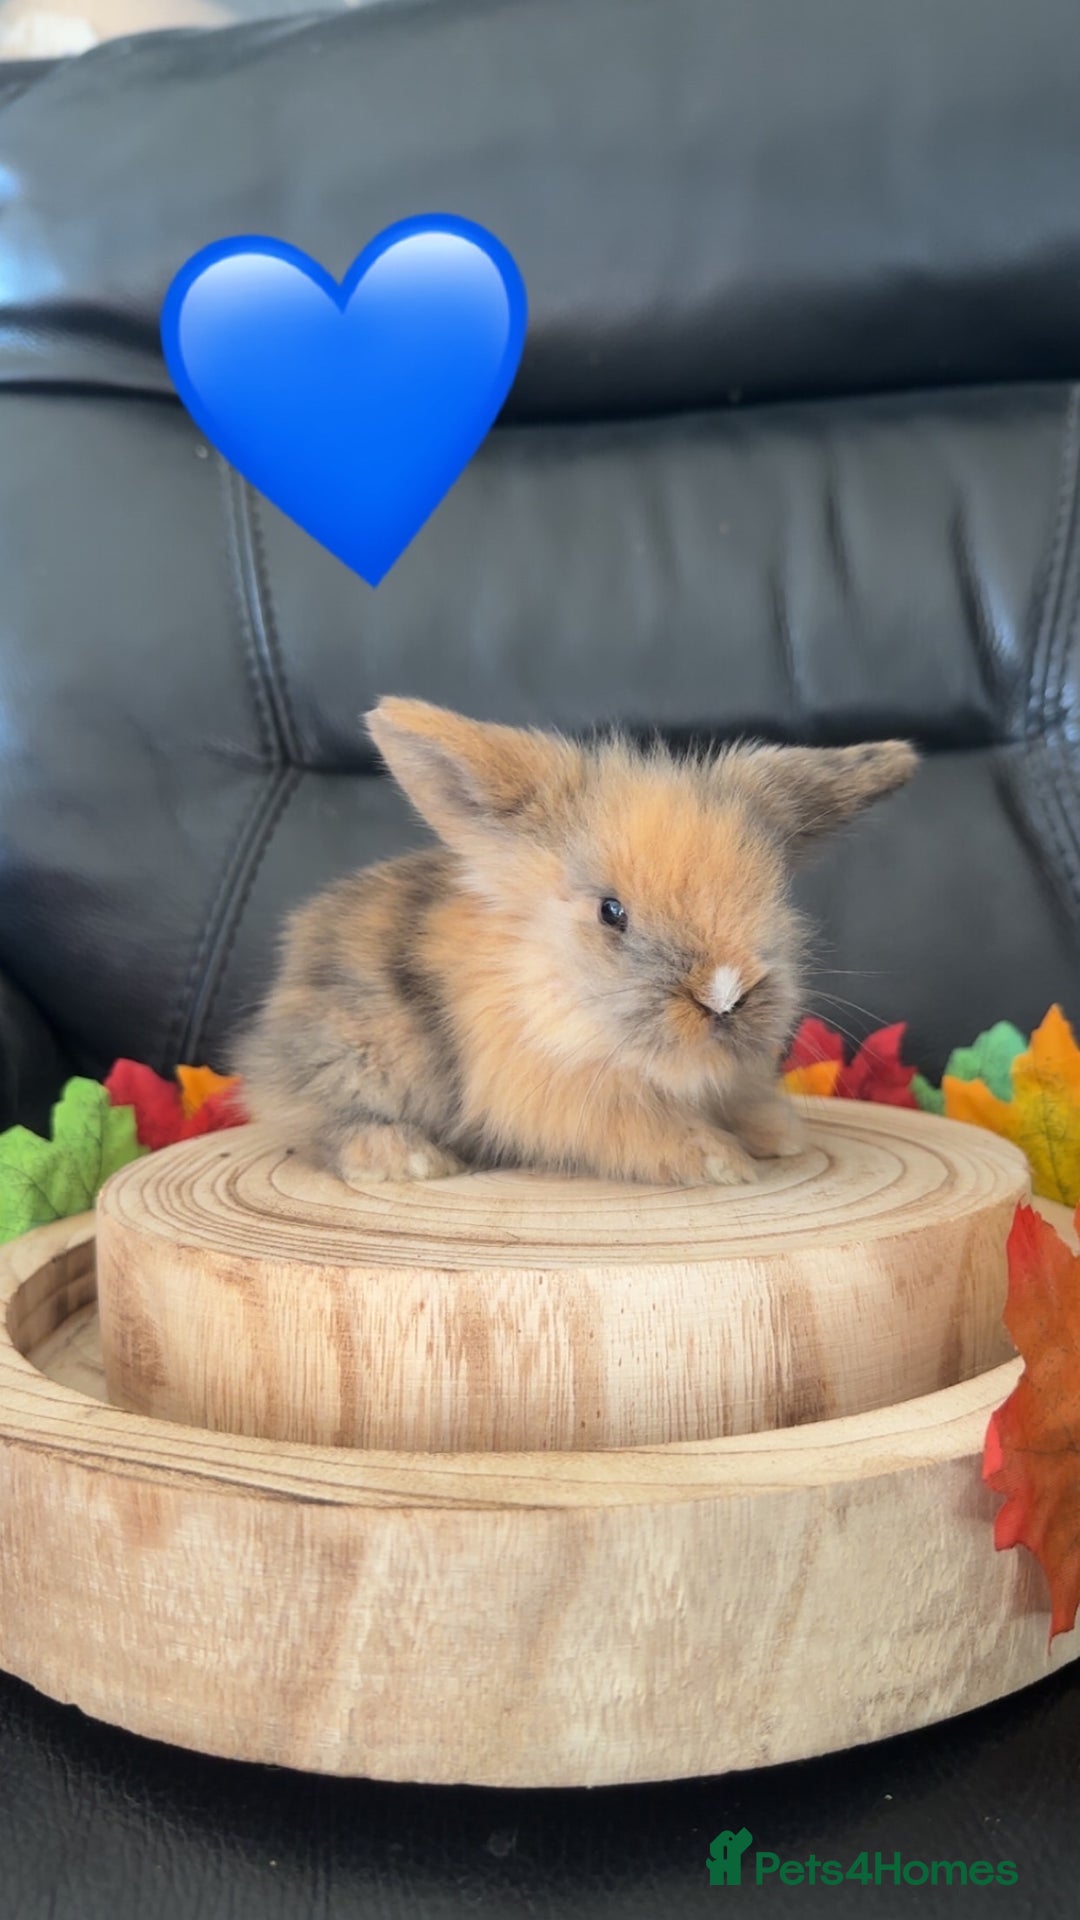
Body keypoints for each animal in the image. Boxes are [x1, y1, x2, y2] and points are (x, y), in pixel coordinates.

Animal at [233, 698, 918, 1189]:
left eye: (774, 895)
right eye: (611, 912)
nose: (723, 994)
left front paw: (780, 1135)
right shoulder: (556, 1097)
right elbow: (641, 1127)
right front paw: (718, 1162)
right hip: (354, 1060)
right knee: (316, 1124)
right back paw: (410, 1159)